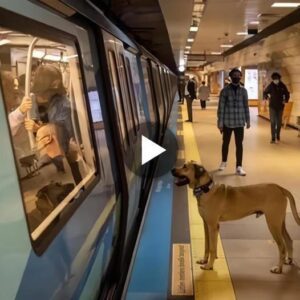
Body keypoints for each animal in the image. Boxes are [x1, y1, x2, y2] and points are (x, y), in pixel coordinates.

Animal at [171, 162, 300, 274]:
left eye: (185, 166)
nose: (172, 170)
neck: (206, 189)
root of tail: (279, 187)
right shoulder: (206, 224)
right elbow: (207, 246)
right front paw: (204, 260)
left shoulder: (212, 226)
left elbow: (212, 248)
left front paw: (209, 266)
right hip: (279, 223)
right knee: (289, 240)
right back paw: (289, 260)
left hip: (273, 224)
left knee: (282, 247)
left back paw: (278, 268)